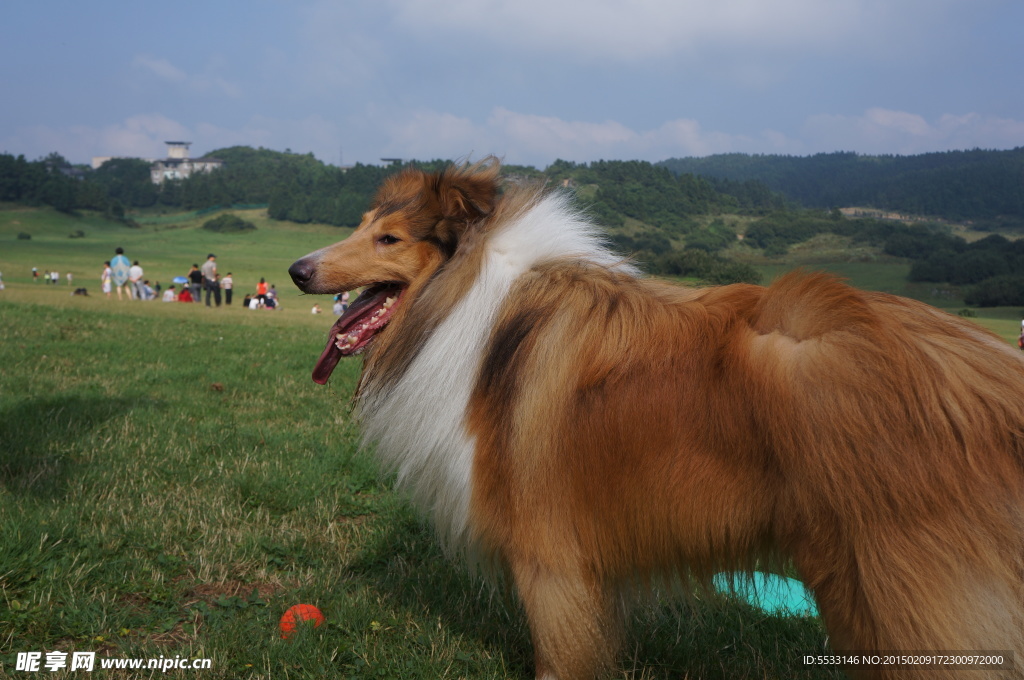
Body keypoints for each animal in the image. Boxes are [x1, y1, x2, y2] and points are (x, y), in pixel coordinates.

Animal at [288, 160, 1024, 680]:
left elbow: (559, 658)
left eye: (387, 238)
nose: (297, 269)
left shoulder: (548, 556)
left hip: (901, 591)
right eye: (360, 224)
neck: (469, 304)